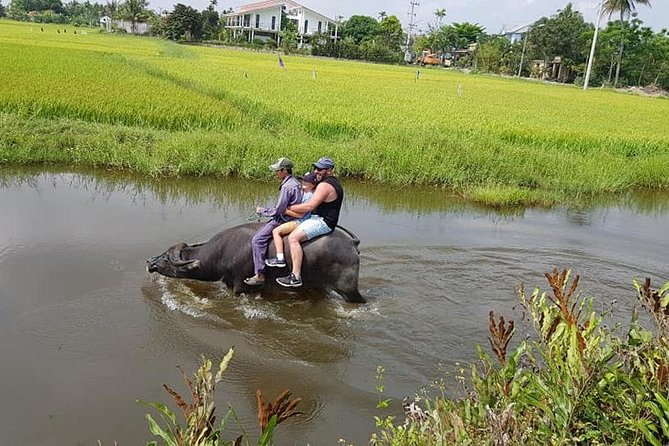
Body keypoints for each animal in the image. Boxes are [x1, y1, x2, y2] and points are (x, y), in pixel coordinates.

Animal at [147, 222, 364, 303]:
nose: (150, 262)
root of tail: (351, 243)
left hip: (349, 290)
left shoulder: (240, 286)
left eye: (166, 258)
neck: (222, 253)